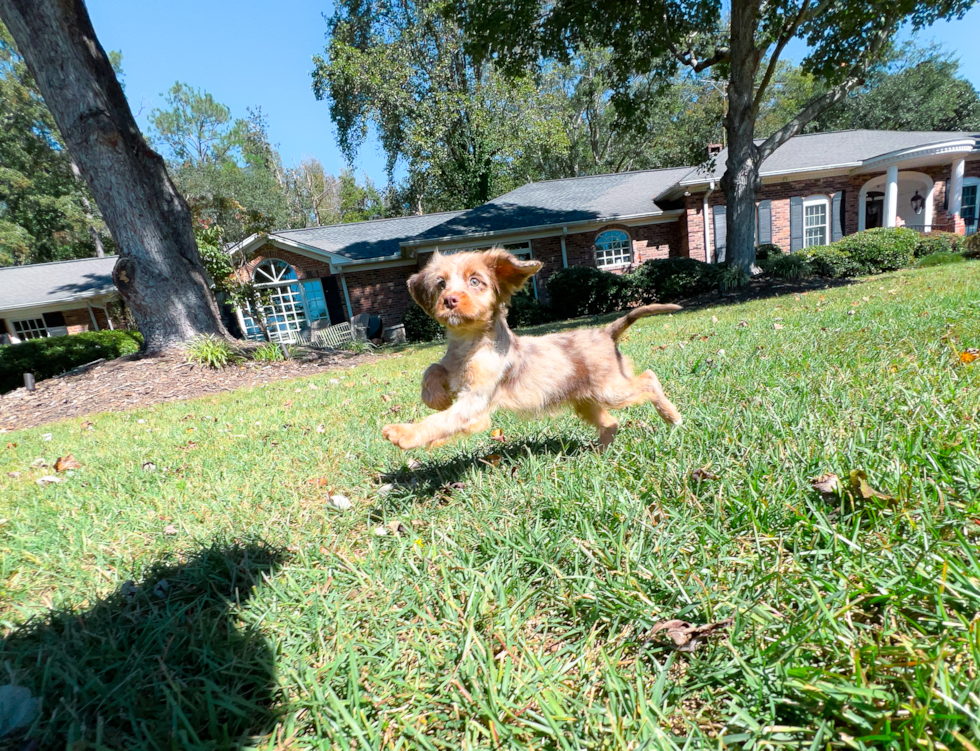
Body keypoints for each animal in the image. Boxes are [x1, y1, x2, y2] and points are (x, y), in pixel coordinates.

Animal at [382, 250, 680, 450]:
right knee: (611, 422)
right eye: (440, 283)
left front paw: (405, 433)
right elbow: (433, 369)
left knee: (649, 379)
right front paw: (435, 397)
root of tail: (605, 332)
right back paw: (601, 452)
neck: (468, 342)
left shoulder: (476, 400)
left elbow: (442, 420)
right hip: (586, 401)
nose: (450, 300)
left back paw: (672, 416)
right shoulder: (458, 380)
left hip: (610, 390)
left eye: (475, 281)